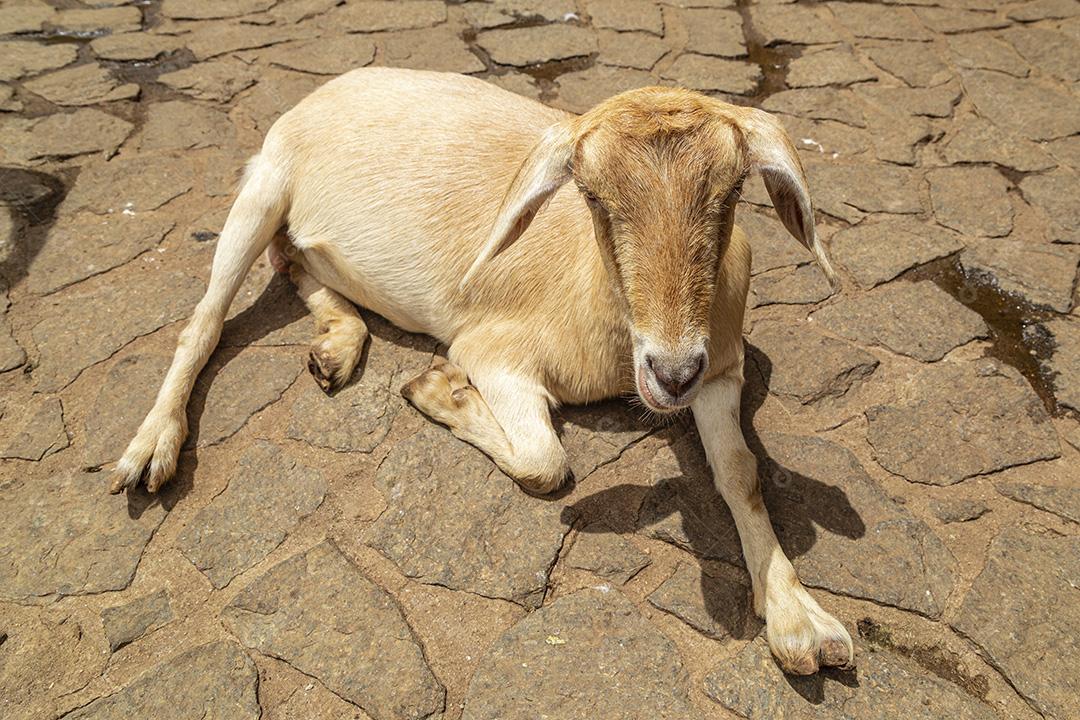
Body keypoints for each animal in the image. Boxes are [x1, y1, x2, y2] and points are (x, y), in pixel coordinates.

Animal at [112, 67, 851, 674]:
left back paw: (337, 344)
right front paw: (438, 390)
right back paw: (151, 449)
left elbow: (742, 473)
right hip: (263, 186)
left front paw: (800, 621)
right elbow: (546, 462)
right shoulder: (494, 351)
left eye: (730, 195)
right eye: (592, 195)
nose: (670, 372)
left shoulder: (720, 370)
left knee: (292, 260)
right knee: (207, 318)